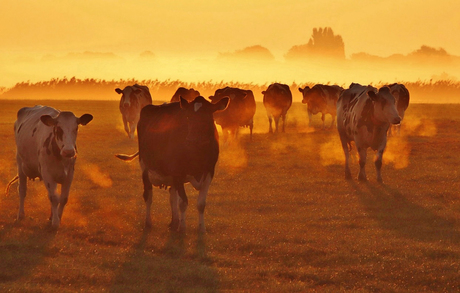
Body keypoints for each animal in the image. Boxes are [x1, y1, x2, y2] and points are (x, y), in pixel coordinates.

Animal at [116, 96, 229, 233]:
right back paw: (149, 222)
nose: (192, 139)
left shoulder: (209, 172)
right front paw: (183, 228)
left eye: (207, 116)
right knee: (148, 195)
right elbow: (183, 202)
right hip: (145, 168)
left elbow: (201, 204)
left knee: (172, 194)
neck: (197, 153)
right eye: (187, 116)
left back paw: (174, 222)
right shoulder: (178, 173)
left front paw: (201, 229)